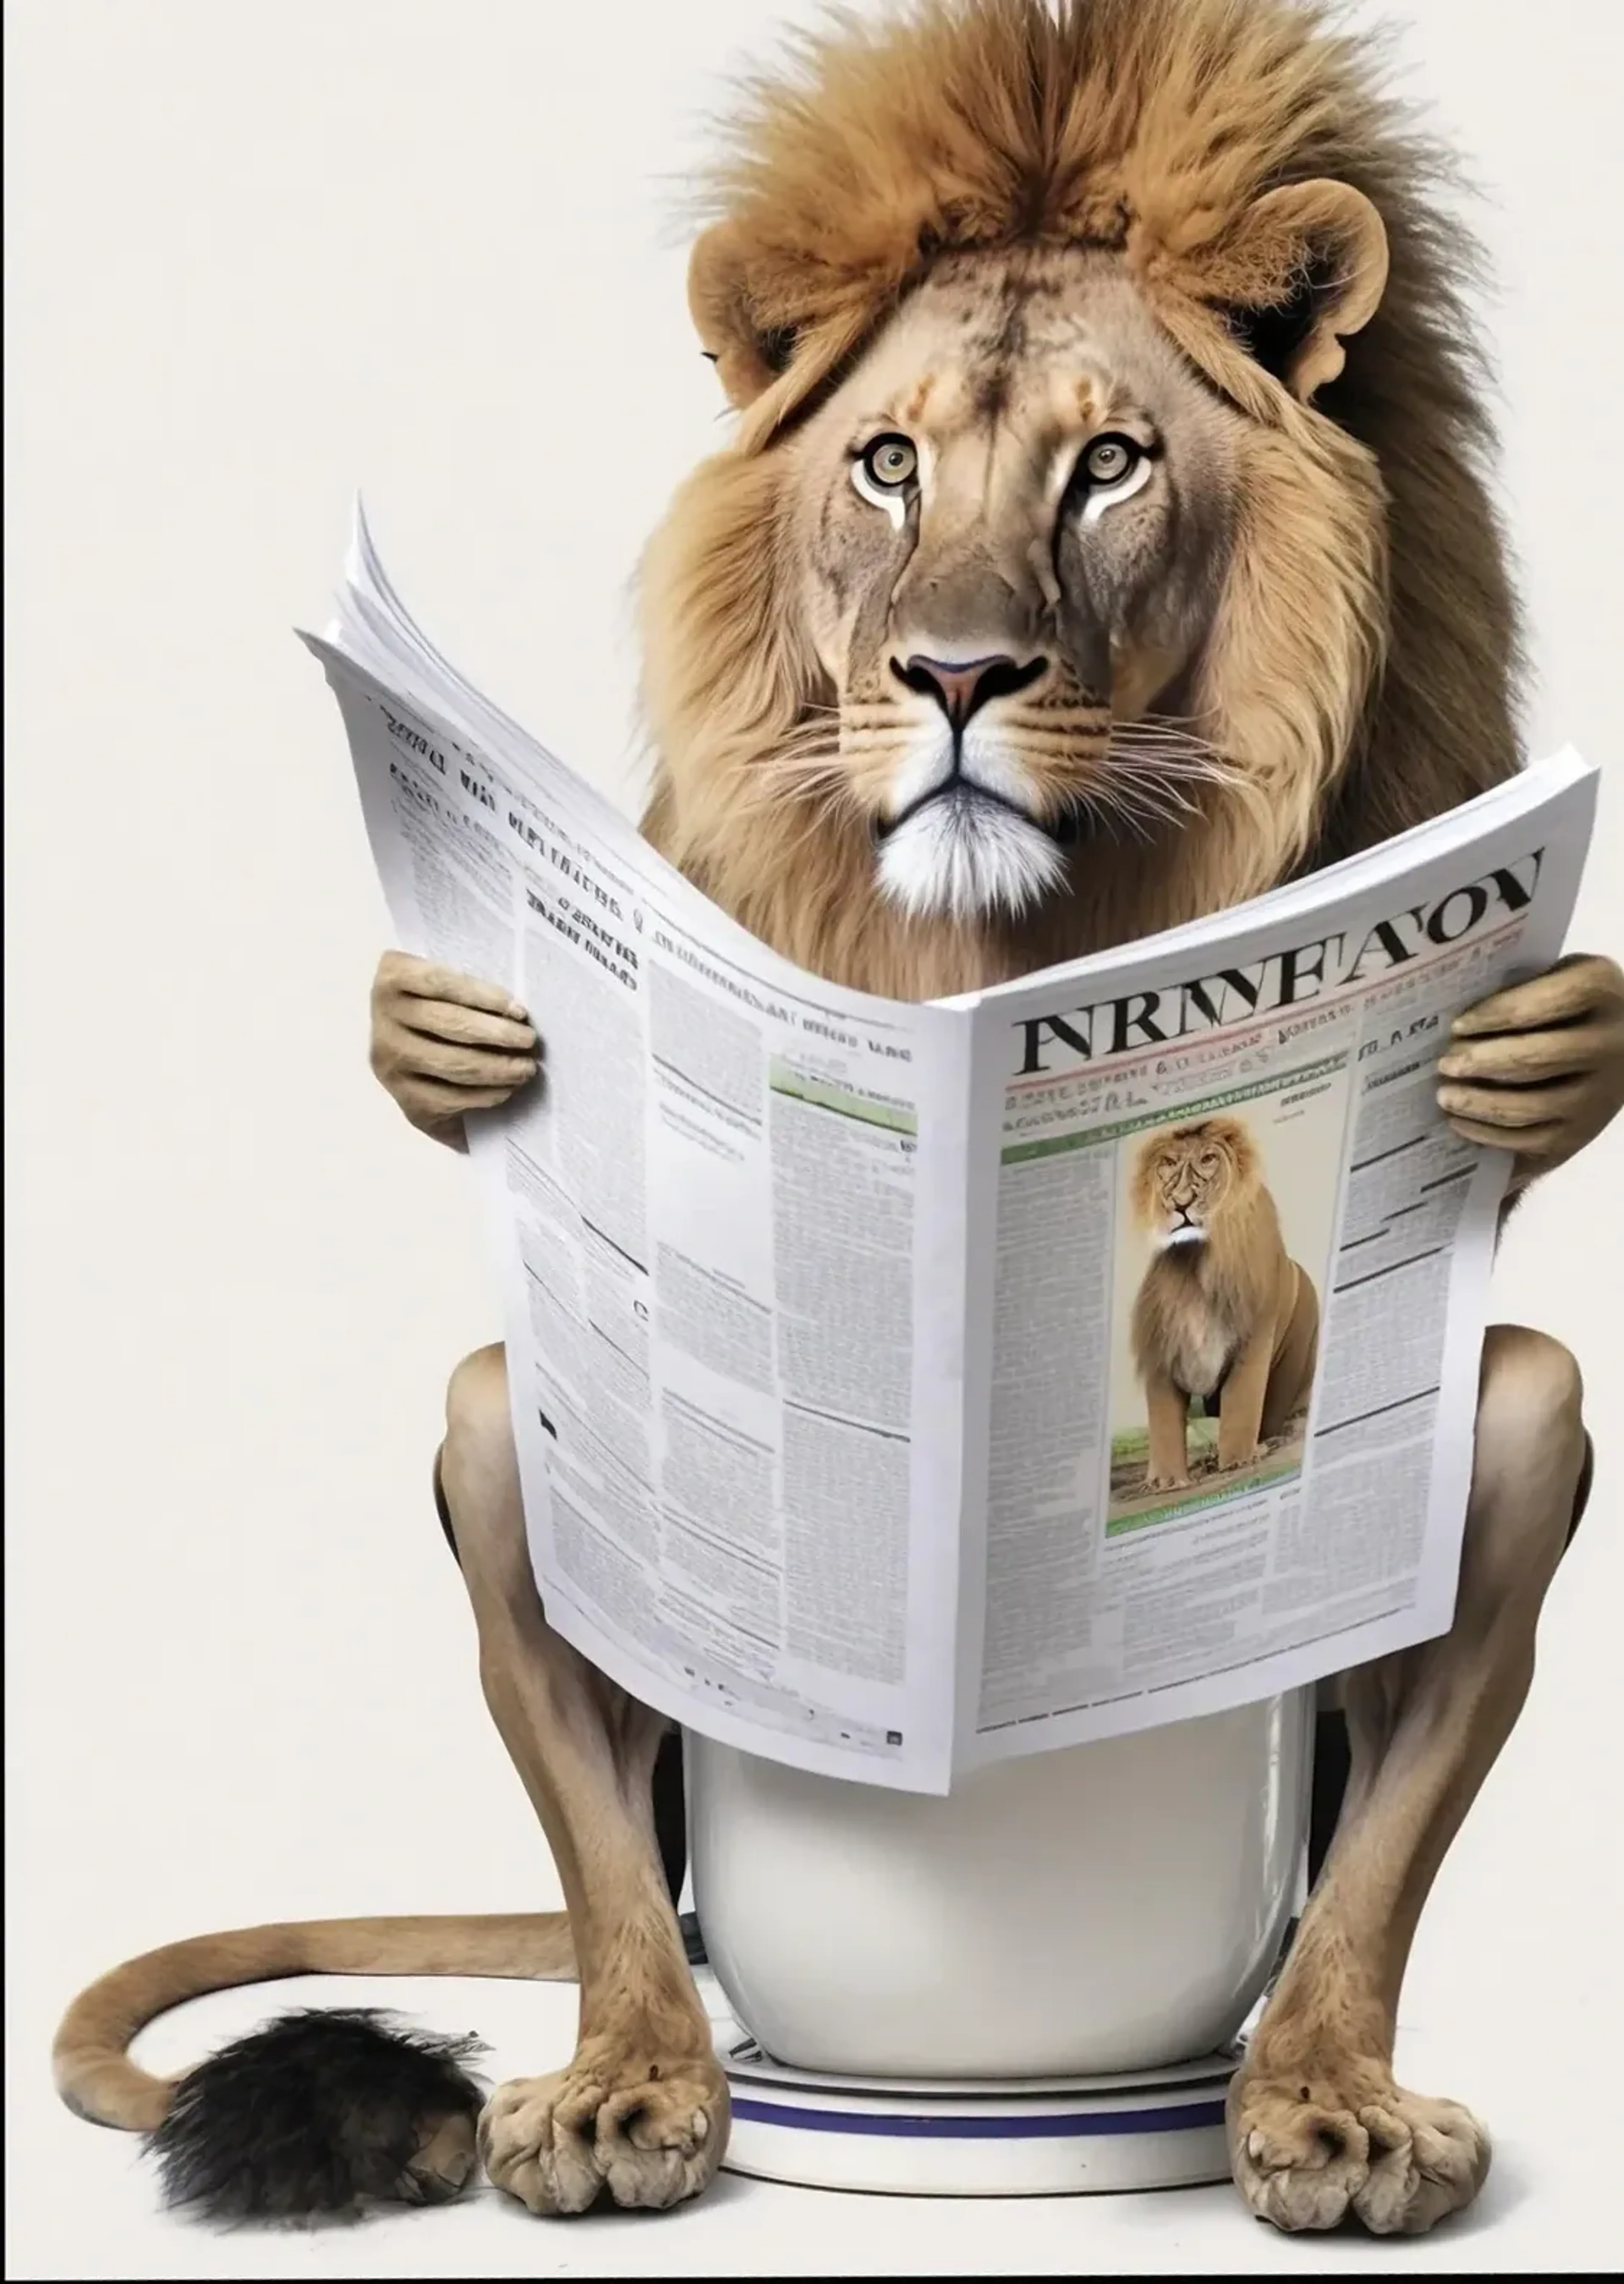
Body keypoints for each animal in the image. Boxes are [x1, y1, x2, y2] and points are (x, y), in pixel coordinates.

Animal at [1128, 1117, 1319, 1492]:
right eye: (1168, 1163)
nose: (1181, 1204)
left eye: (1208, 1159)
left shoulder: (1256, 1337)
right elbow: (1163, 1422)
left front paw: (1238, 1461)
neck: (1196, 1263)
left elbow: (1244, 1401)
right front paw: (1166, 1482)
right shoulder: (1161, 1344)